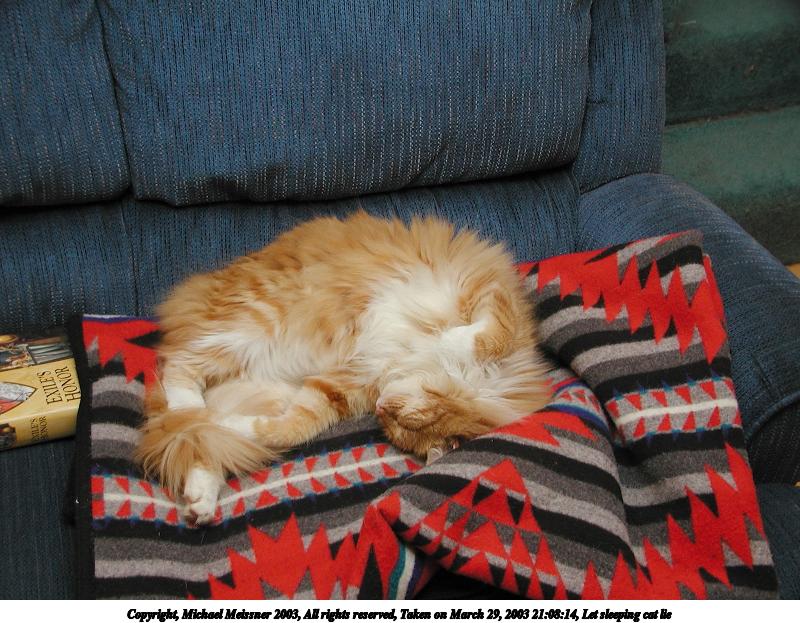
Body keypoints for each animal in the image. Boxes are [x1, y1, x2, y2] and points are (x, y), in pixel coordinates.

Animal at [136, 211, 551, 524]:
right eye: (401, 418)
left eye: (396, 428)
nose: (382, 408)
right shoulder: (489, 294)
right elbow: (484, 337)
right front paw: (449, 341)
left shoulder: (342, 384)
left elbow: (288, 429)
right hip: (253, 323)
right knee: (180, 370)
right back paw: (189, 409)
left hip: (262, 384)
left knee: (203, 438)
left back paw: (200, 497)